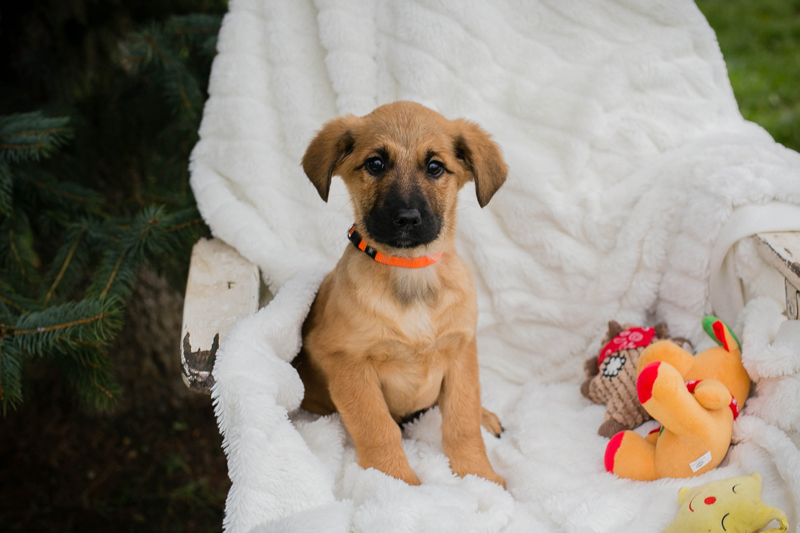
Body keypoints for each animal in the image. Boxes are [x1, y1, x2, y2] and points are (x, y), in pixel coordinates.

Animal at [293, 101, 507, 487]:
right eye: (375, 164)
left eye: (435, 167)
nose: (407, 218)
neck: (411, 272)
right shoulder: (347, 361)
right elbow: (377, 427)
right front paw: (398, 483)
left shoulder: (461, 350)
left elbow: (463, 421)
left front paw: (478, 475)